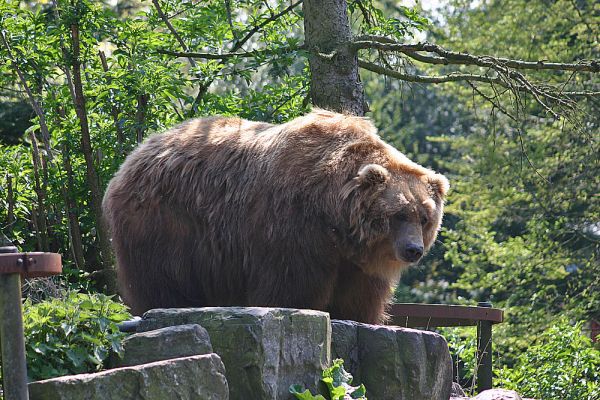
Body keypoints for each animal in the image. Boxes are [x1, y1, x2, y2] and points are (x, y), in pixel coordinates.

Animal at [103, 110, 448, 324]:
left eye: (424, 217)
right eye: (398, 214)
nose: (413, 250)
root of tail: (132, 157)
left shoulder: (355, 260)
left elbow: (360, 296)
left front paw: (357, 317)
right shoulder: (292, 225)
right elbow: (292, 285)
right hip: (163, 223)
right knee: (160, 277)